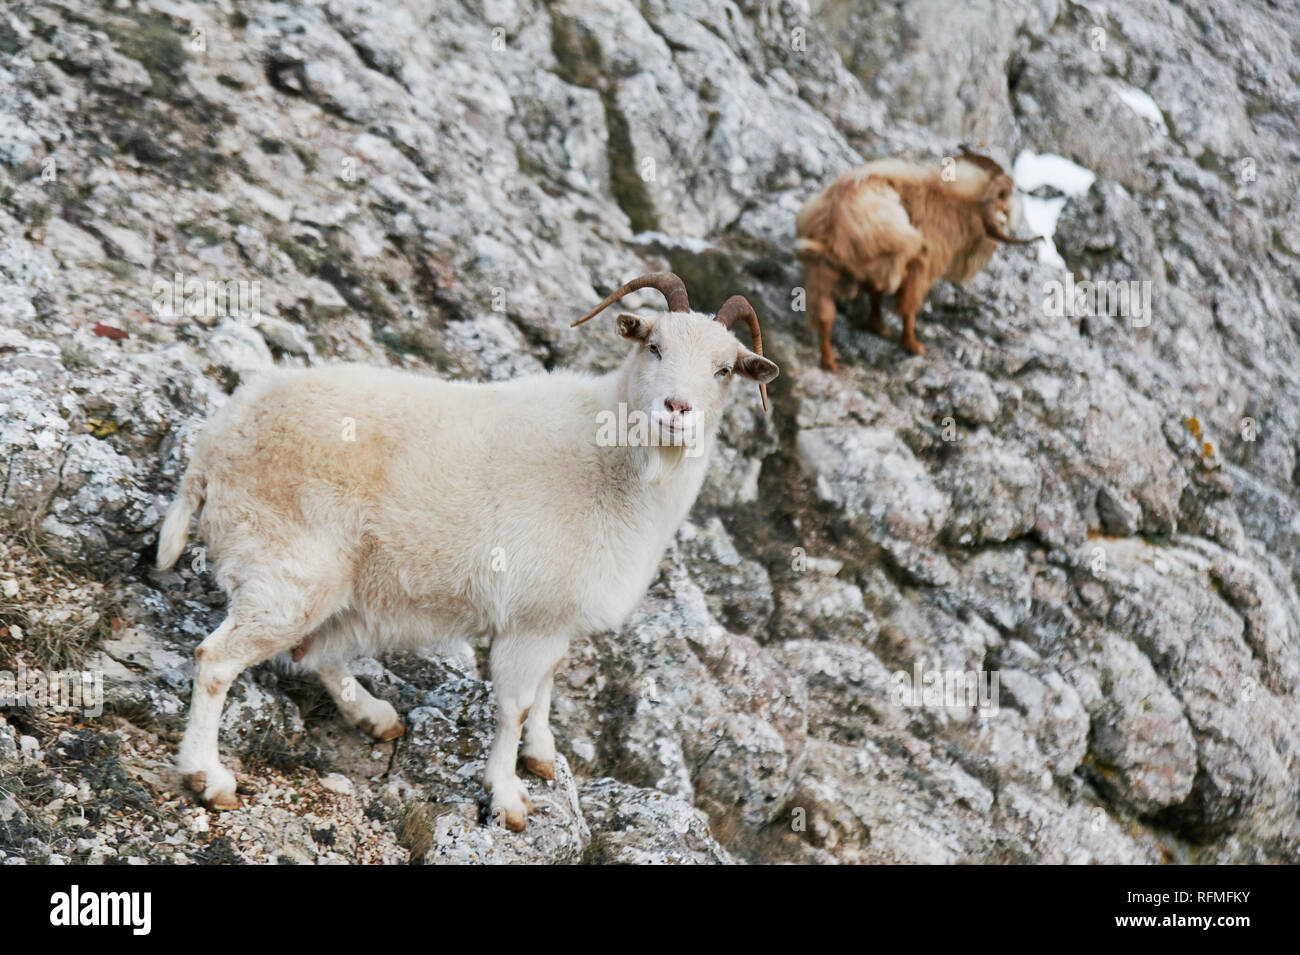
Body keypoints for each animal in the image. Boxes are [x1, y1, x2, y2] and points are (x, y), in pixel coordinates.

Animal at [154, 272, 778, 830]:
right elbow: (515, 704)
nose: (676, 409)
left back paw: (376, 717)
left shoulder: (553, 619)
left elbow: (547, 687)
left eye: (724, 370)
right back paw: (209, 778)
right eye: (654, 345)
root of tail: (216, 443)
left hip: (344, 588)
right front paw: (508, 798)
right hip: (287, 571)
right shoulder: (530, 620)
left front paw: (542, 758)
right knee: (217, 659)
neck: (613, 463)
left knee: (315, 654)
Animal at [795, 149, 1039, 370]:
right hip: (899, 241)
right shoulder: (926, 266)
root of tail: (830, 229)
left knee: (826, 314)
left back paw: (829, 361)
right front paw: (912, 345)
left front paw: (879, 325)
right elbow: (909, 307)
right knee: (886, 280)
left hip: (820, 274)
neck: (953, 203)